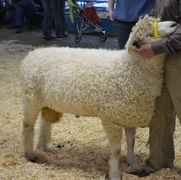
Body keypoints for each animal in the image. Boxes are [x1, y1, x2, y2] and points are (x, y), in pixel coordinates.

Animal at [21, 15, 178, 180]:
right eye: (149, 35)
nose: (174, 24)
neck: (129, 69)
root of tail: (31, 54)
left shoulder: (128, 114)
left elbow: (131, 142)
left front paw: (133, 163)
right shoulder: (111, 119)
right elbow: (116, 150)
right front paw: (114, 174)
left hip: (48, 102)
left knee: (44, 123)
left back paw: (42, 146)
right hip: (31, 98)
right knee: (27, 126)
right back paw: (30, 154)